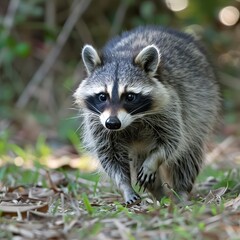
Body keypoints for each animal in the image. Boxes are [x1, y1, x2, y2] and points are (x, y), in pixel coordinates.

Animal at [74, 25, 220, 206]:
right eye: (102, 96)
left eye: (130, 96)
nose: (113, 123)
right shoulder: (97, 121)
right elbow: (109, 155)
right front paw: (125, 185)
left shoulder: (170, 105)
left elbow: (172, 141)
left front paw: (153, 161)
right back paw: (158, 193)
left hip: (202, 107)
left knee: (187, 156)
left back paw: (181, 191)